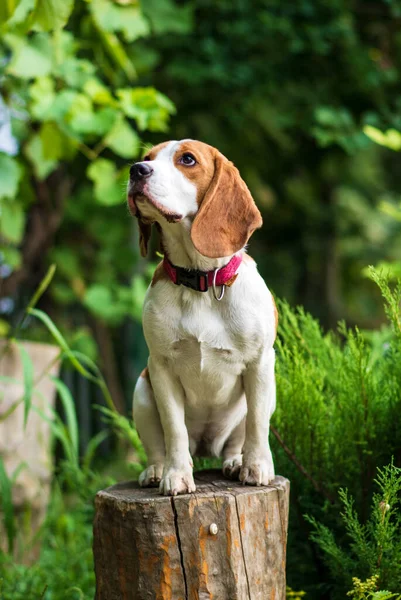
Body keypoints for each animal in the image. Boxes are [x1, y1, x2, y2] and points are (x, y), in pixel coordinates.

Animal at [126, 138, 276, 494]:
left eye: (188, 160)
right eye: (147, 157)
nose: (136, 170)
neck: (202, 282)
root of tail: (207, 446)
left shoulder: (261, 363)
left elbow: (257, 425)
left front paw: (257, 467)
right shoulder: (161, 367)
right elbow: (174, 430)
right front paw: (176, 475)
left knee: (237, 439)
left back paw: (235, 462)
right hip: (142, 390)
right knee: (158, 445)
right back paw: (156, 469)